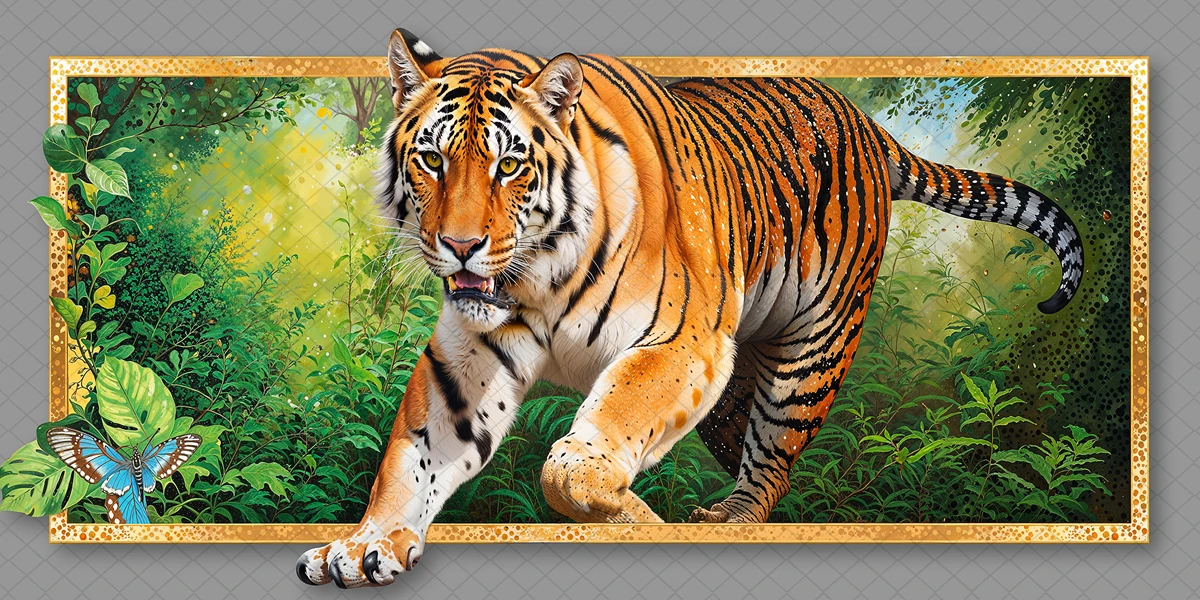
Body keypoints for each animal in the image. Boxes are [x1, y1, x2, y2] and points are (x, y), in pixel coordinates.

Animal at [297, 28, 1084, 587]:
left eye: (509, 165)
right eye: (432, 159)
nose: (460, 246)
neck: (536, 279)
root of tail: (865, 121)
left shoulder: (680, 341)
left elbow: (578, 460)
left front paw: (625, 510)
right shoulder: (467, 358)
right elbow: (412, 457)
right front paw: (367, 544)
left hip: (812, 349)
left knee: (771, 462)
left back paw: (729, 518)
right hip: (740, 377)